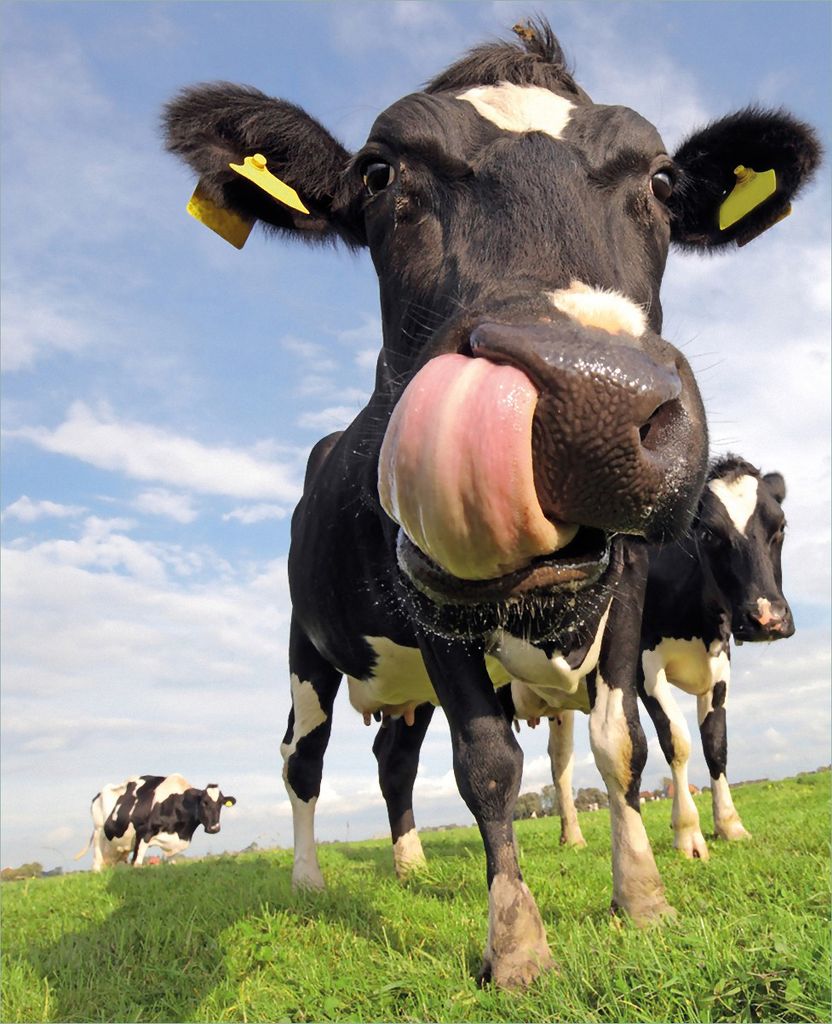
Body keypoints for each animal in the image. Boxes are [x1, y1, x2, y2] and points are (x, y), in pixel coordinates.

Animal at [74, 774, 236, 871]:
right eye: (204, 802)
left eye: (221, 804)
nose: (214, 828)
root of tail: (98, 795)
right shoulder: (142, 832)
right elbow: (137, 863)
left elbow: (172, 862)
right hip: (98, 833)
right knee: (96, 863)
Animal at [163, 19, 818, 988]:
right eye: (378, 174)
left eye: (663, 182)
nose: (595, 400)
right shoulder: (430, 602)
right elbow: (487, 764)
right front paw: (514, 942)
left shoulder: (627, 597)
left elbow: (623, 745)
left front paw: (644, 897)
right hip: (307, 648)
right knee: (302, 758)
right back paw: (310, 879)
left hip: (403, 687)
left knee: (393, 757)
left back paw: (407, 862)